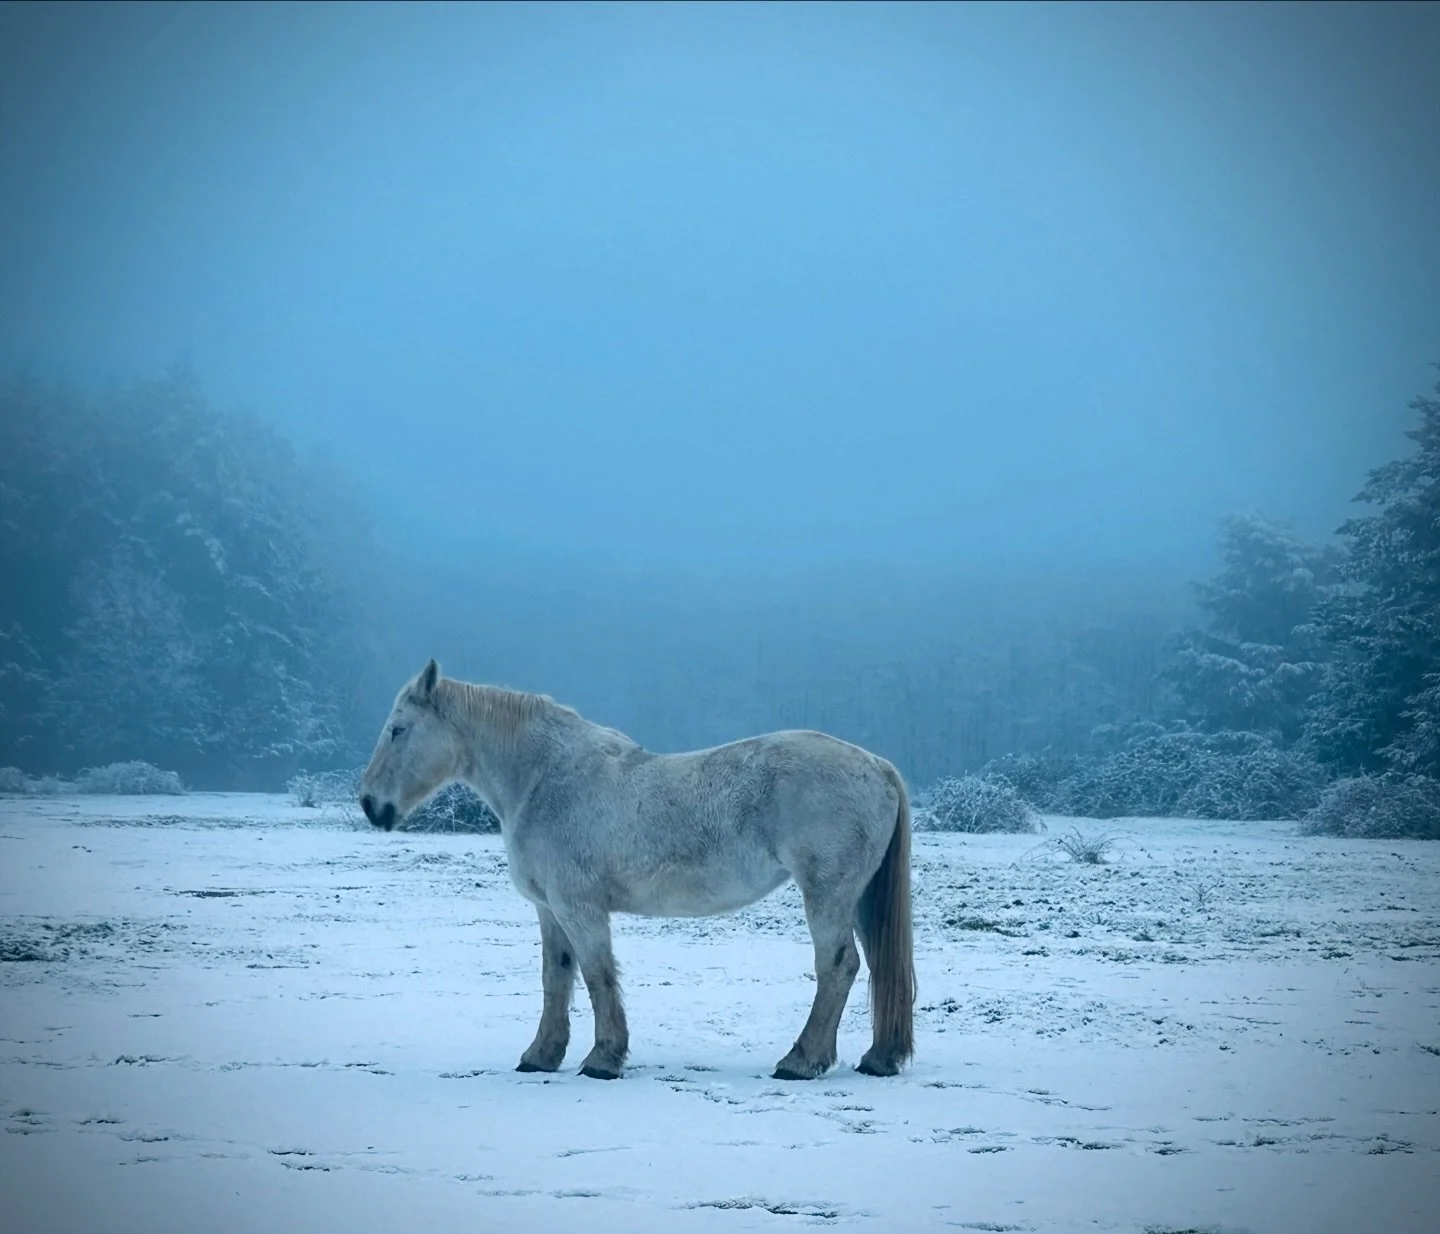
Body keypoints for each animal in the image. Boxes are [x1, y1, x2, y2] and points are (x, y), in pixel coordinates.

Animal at [359, 660, 914, 1081]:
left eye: (398, 729)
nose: (369, 804)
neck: (543, 779)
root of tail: (879, 766)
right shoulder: (549, 910)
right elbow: (556, 977)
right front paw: (541, 1056)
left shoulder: (579, 908)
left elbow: (597, 975)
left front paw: (603, 1058)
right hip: (860, 899)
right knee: (876, 966)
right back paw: (879, 1058)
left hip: (828, 896)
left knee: (838, 967)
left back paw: (801, 1061)